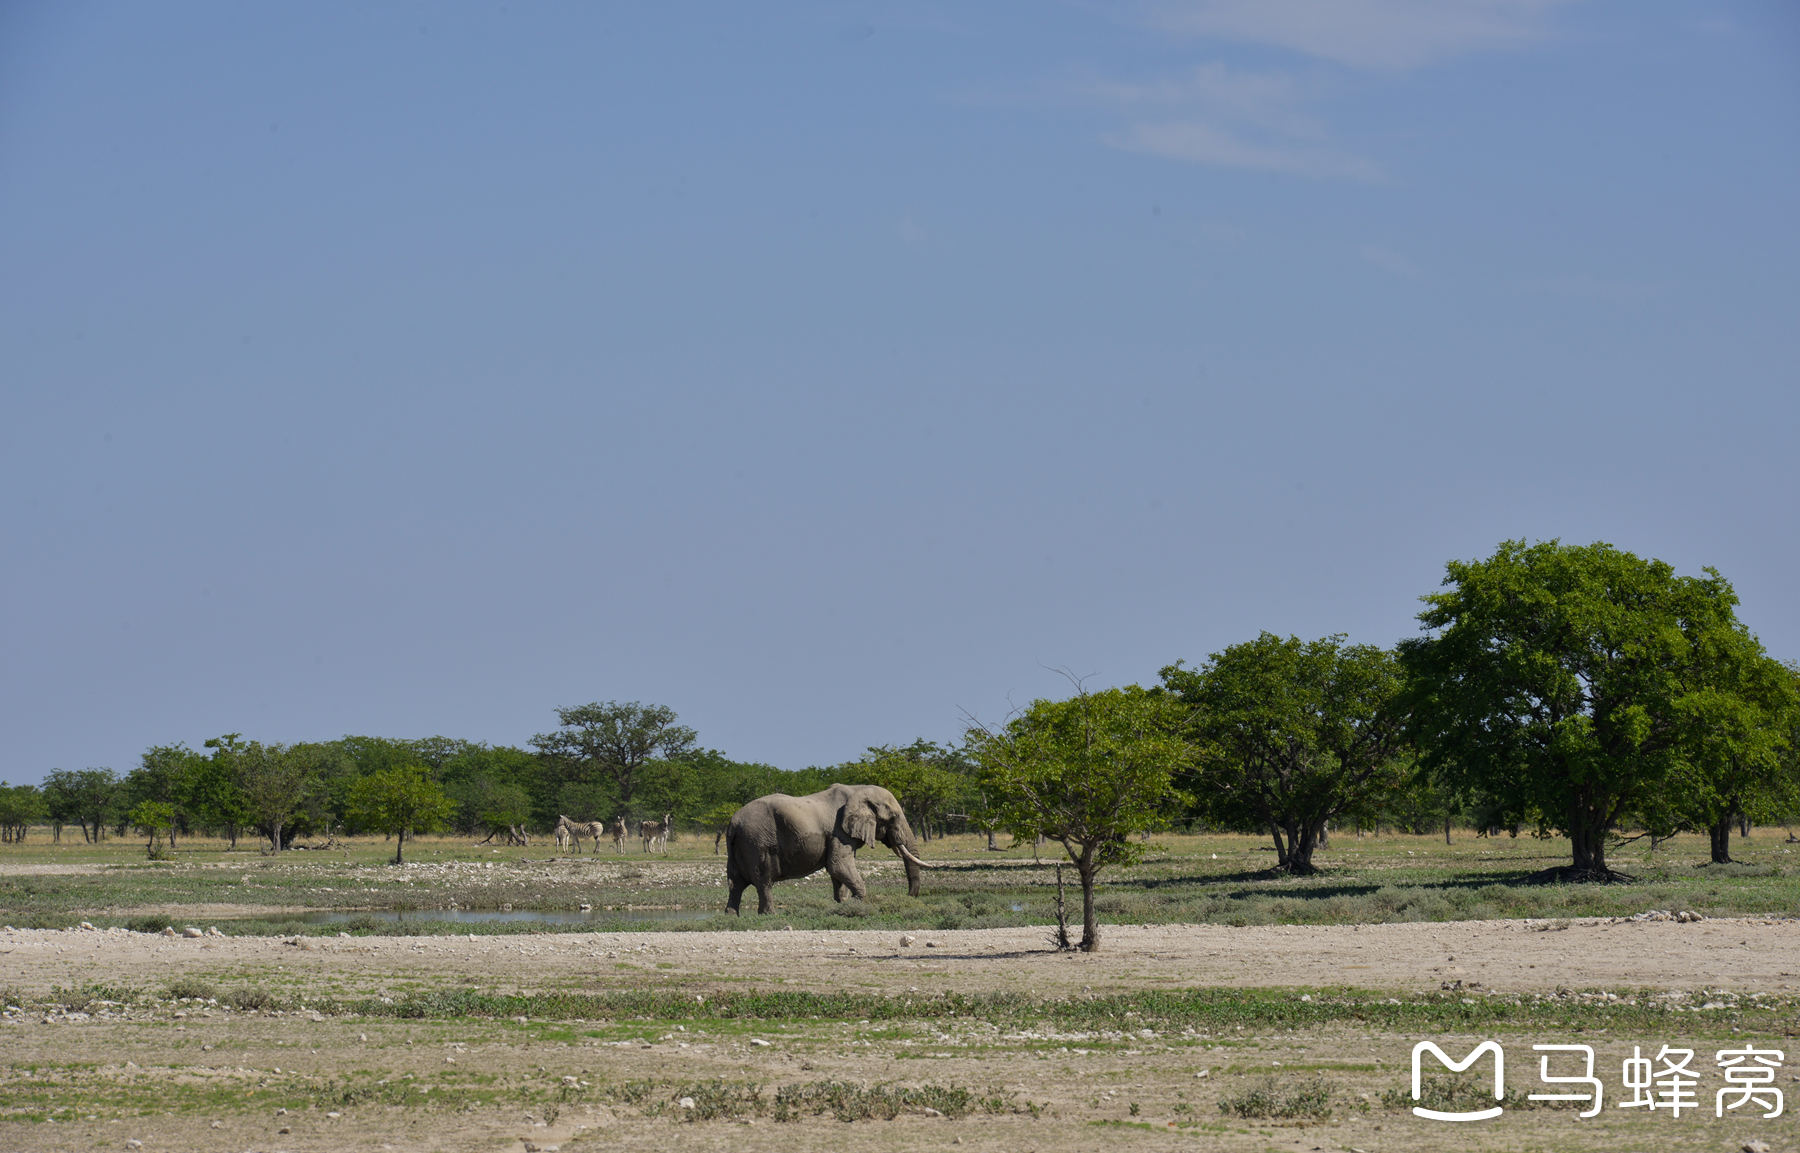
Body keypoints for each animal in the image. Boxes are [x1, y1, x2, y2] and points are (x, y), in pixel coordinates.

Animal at [723, 777, 936, 913]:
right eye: (893, 817)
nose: (909, 896)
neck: (858, 790)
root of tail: (734, 822)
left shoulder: (841, 833)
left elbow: (838, 870)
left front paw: (843, 904)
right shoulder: (838, 831)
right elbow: (838, 865)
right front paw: (856, 904)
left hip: (740, 845)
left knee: (735, 883)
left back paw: (733, 916)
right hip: (756, 842)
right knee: (763, 881)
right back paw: (769, 915)